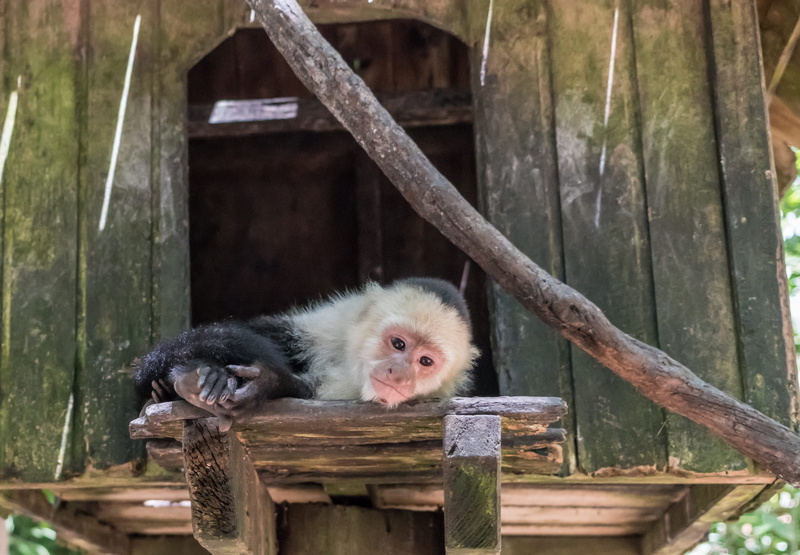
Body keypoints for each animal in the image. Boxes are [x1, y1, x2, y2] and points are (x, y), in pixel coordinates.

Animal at [134, 278, 479, 430]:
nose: (399, 375)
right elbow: (257, 332)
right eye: (398, 344)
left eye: (425, 362)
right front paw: (200, 370)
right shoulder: (333, 324)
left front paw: (269, 383)